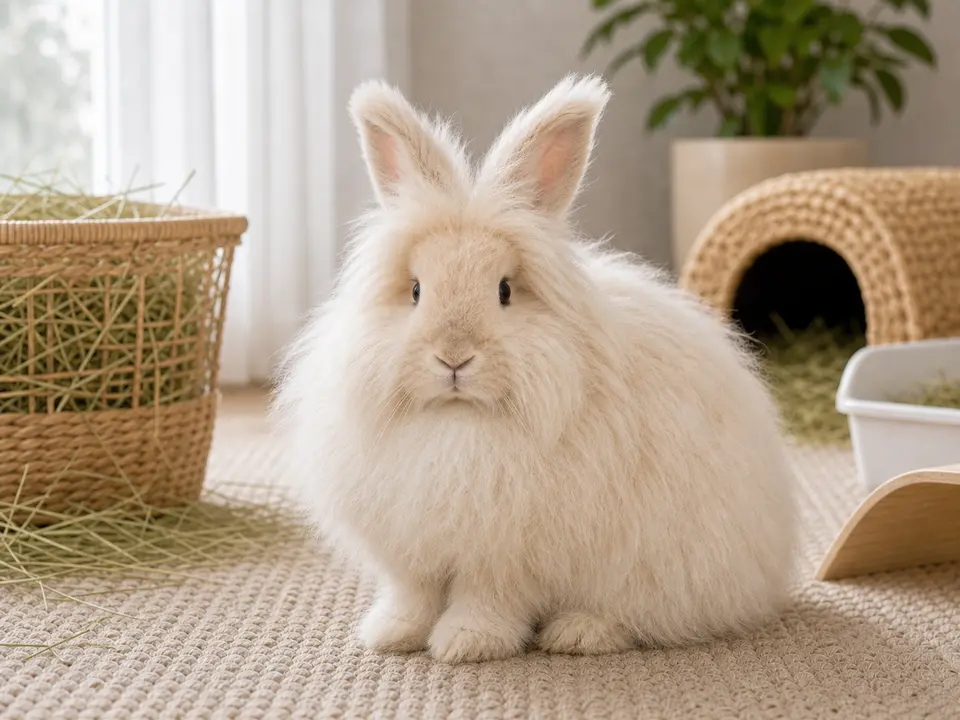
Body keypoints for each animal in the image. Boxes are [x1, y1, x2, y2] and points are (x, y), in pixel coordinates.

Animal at [271, 74, 798, 665]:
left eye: (504, 291)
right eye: (415, 291)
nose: (453, 357)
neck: (458, 423)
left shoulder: (506, 556)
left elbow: (488, 598)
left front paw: (465, 644)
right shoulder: (414, 549)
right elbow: (414, 593)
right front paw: (390, 635)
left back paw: (579, 633)